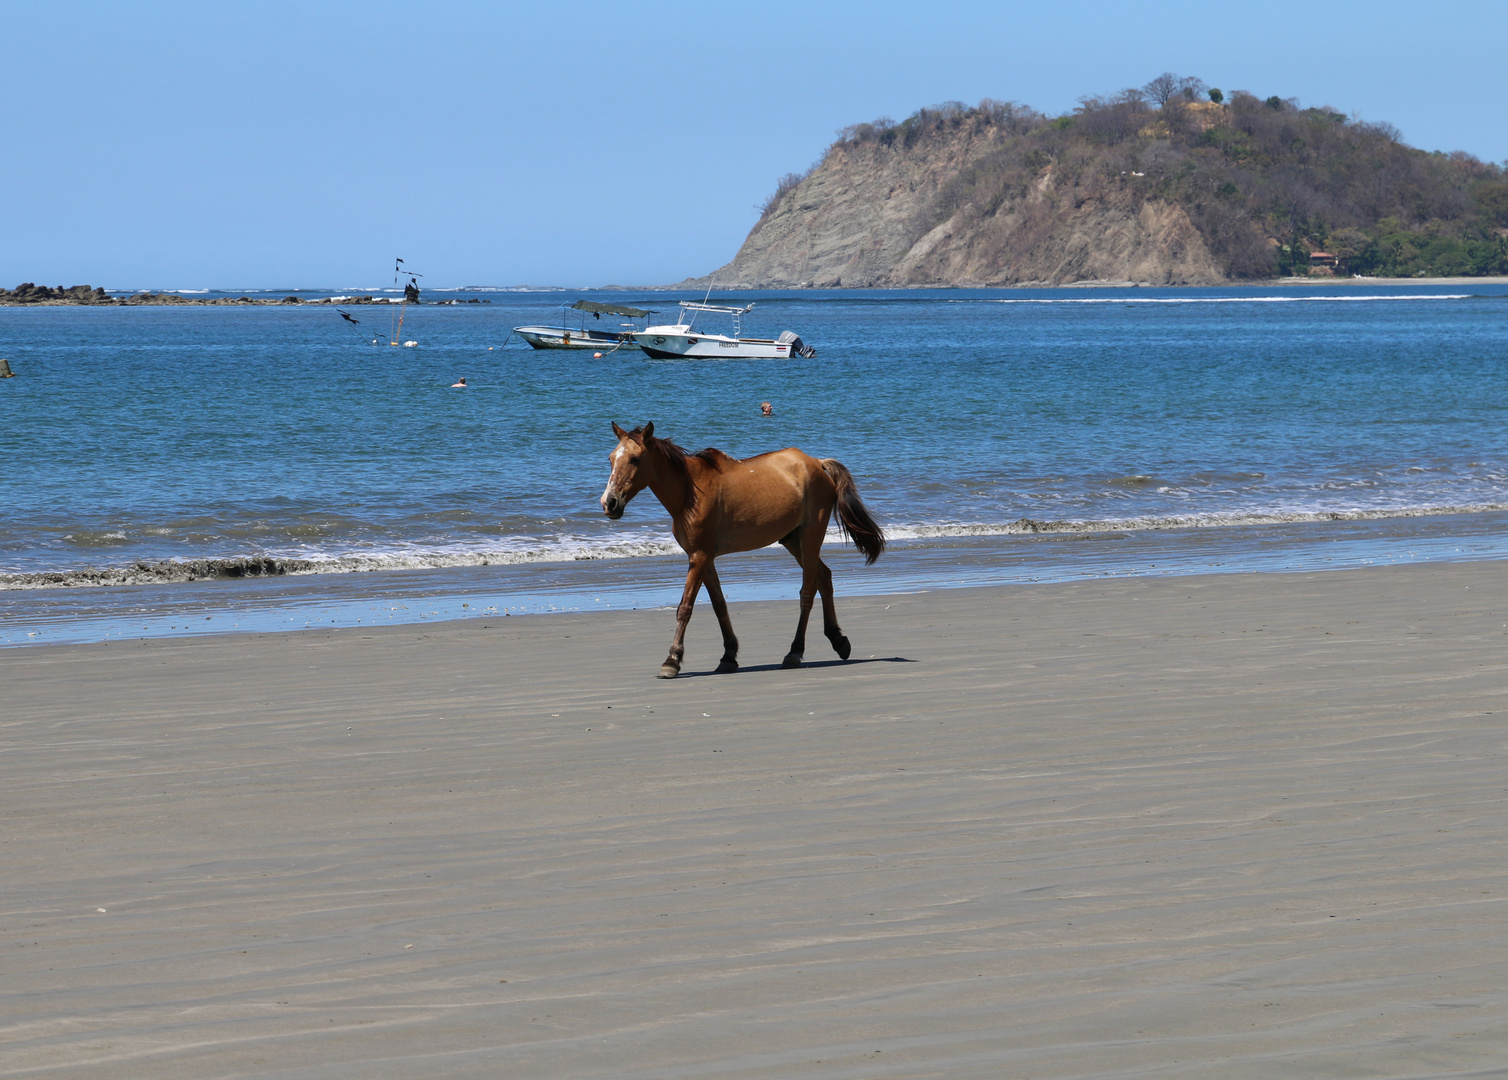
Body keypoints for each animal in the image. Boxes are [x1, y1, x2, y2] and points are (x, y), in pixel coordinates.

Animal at [600, 422, 880, 675]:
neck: (690, 494)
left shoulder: (699, 557)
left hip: (810, 536)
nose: (609, 503)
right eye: (612, 458)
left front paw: (672, 660)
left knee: (807, 593)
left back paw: (794, 652)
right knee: (824, 577)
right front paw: (728, 656)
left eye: (635, 459)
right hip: (793, 540)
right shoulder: (703, 557)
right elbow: (719, 605)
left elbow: (685, 608)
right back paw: (838, 641)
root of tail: (817, 462)